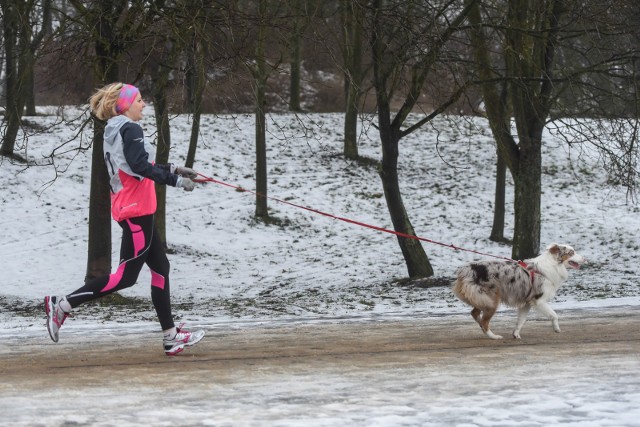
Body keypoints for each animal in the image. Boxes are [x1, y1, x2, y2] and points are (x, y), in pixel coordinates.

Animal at [450, 244, 584, 342]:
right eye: (571, 252)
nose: (585, 259)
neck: (553, 265)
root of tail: (465, 270)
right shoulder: (539, 300)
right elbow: (554, 315)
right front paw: (556, 329)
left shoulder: (527, 303)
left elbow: (521, 320)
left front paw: (516, 334)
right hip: (491, 300)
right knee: (484, 321)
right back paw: (494, 336)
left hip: (482, 298)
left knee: (475, 313)